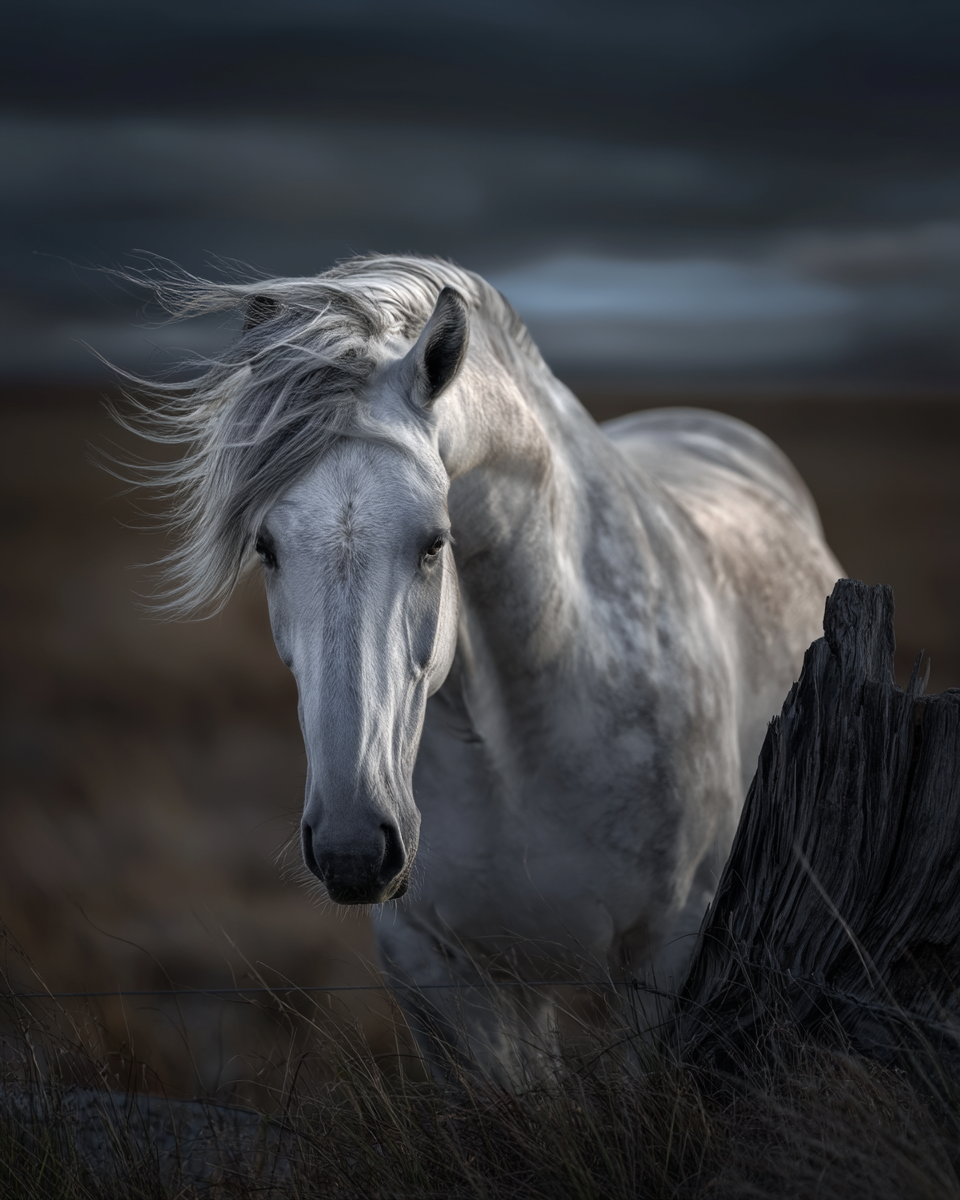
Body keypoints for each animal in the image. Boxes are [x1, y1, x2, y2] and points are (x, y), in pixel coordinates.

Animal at [121, 254, 842, 1078]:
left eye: (435, 542)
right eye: (266, 547)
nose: (351, 850)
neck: (519, 749)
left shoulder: (668, 956)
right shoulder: (444, 973)